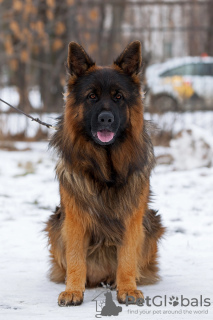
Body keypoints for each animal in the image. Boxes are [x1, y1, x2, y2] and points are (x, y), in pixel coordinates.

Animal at [45, 41, 165, 306]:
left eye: (118, 97)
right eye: (92, 96)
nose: (106, 119)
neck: (106, 169)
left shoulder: (132, 218)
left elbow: (128, 257)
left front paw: (127, 288)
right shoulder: (75, 219)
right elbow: (76, 259)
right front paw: (73, 290)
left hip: (153, 223)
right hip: (55, 224)